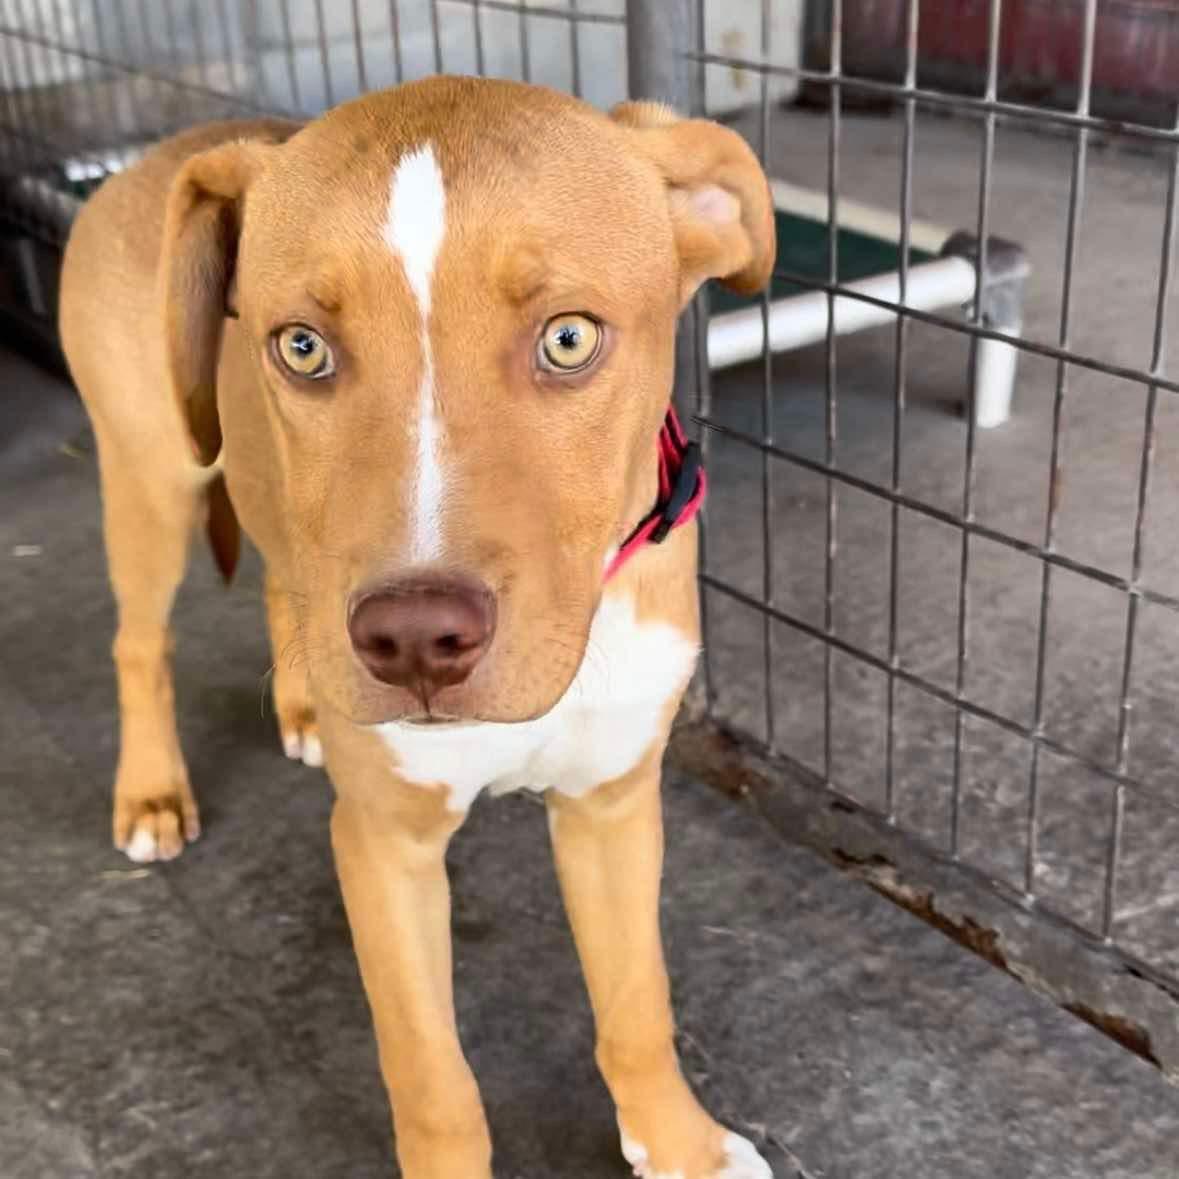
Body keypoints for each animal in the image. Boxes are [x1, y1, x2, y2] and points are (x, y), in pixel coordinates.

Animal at [57, 78, 773, 1174]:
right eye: (302, 347)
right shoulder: (384, 848)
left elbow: (637, 1006)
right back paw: (150, 793)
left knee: (283, 584)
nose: (413, 642)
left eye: (569, 339)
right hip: (150, 473)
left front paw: (677, 1142)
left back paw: (303, 705)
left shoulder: (610, 803)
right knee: (140, 643)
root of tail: (161, 154)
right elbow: (434, 1083)